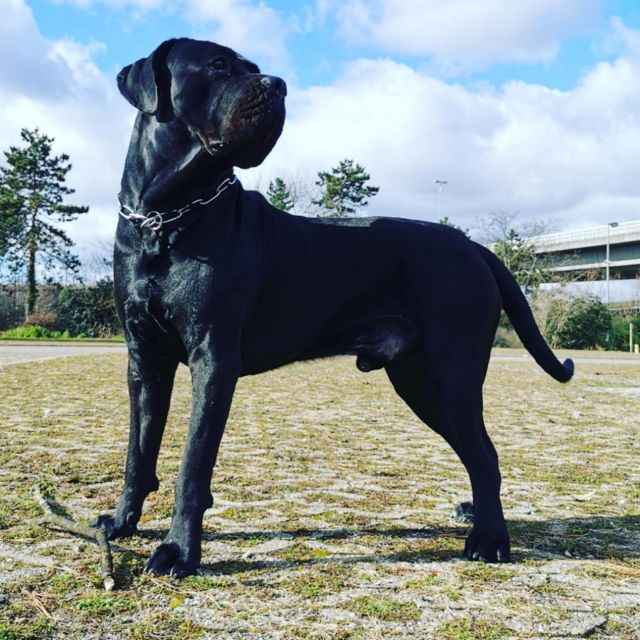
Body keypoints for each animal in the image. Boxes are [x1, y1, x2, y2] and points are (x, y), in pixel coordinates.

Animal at [94, 38, 574, 577]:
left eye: (253, 68)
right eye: (218, 65)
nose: (279, 85)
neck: (165, 217)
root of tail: (474, 247)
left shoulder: (213, 359)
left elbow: (192, 465)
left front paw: (179, 550)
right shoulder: (144, 360)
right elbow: (139, 451)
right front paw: (121, 523)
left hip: (453, 372)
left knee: (485, 454)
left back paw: (489, 540)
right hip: (418, 380)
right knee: (476, 455)